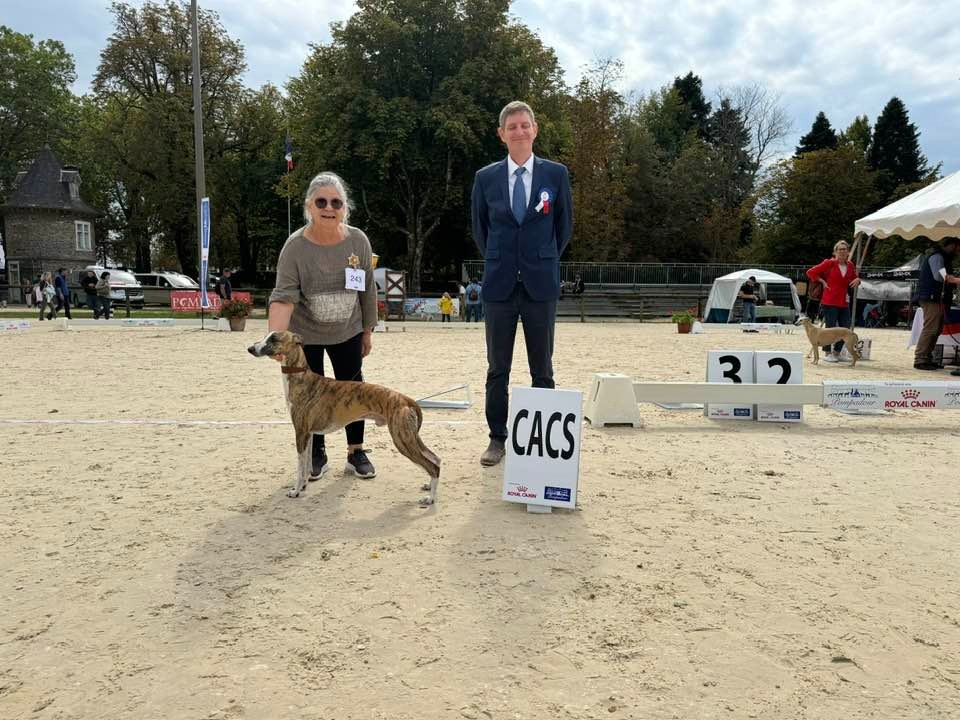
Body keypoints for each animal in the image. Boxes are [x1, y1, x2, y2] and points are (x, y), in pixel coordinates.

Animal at [248, 331, 441, 506]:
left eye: (274, 339)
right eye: (265, 336)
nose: (250, 348)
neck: (301, 377)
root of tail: (405, 399)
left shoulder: (300, 432)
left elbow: (300, 466)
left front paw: (295, 491)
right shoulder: (308, 434)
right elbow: (306, 465)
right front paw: (303, 486)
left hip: (402, 439)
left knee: (432, 466)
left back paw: (430, 499)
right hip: (410, 437)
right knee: (435, 459)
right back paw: (428, 487)